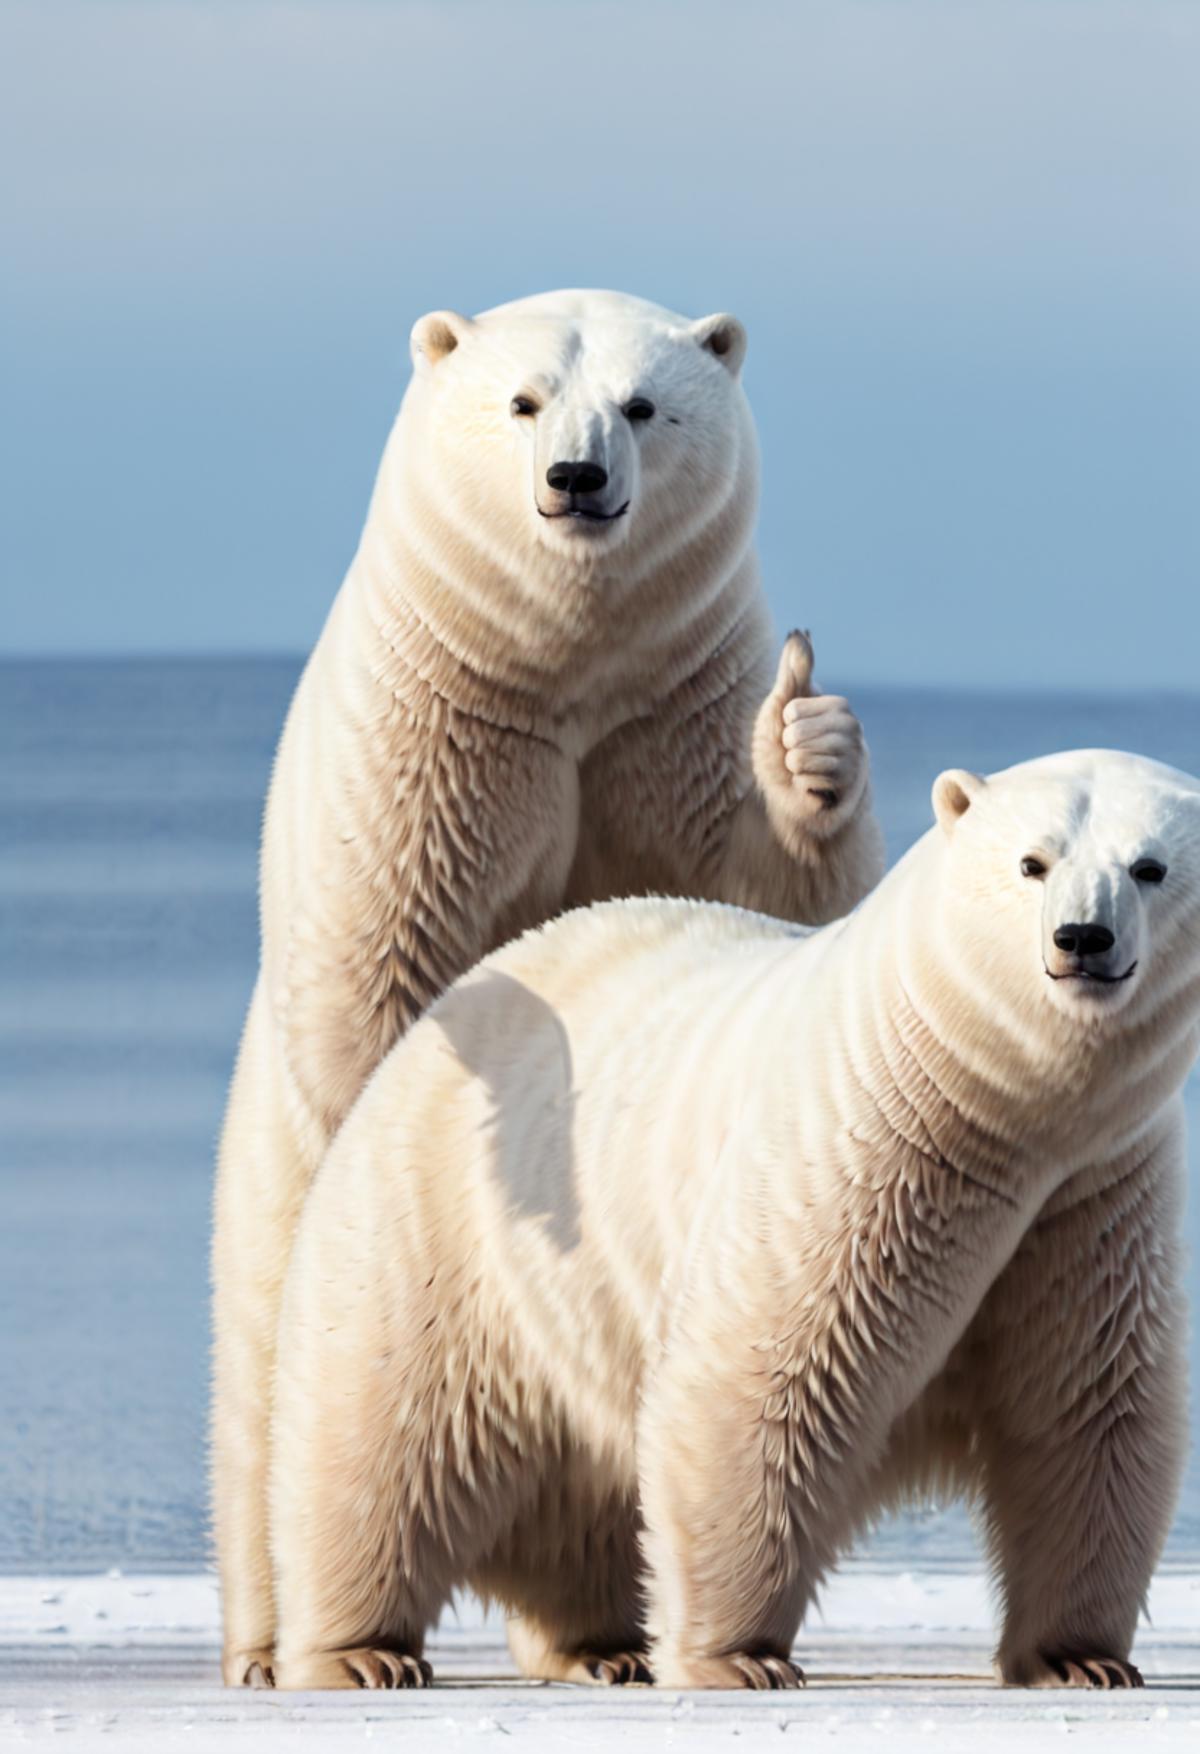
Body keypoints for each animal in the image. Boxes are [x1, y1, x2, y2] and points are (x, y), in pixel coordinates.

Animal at [210, 287, 884, 1683]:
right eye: (521, 400)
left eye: (644, 403)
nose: (577, 479)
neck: (564, 672)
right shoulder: (429, 739)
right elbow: (380, 969)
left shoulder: (674, 720)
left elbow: (770, 895)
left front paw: (812, 746)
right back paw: (280, 1641)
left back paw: (598, 1637)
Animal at [264, 750, 1200, 1683]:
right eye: (1032, 862)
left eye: (1149, 867)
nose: (1083, 938)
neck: (982, 1101)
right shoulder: (858, 1155)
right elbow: (766, 1378)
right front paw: (738, 1659)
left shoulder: (1094, 1200)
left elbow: (1091, 1406)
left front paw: (1080, 1660)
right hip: (445, 1222)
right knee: (384, 1440)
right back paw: (362, 1651)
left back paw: (599, 1647)